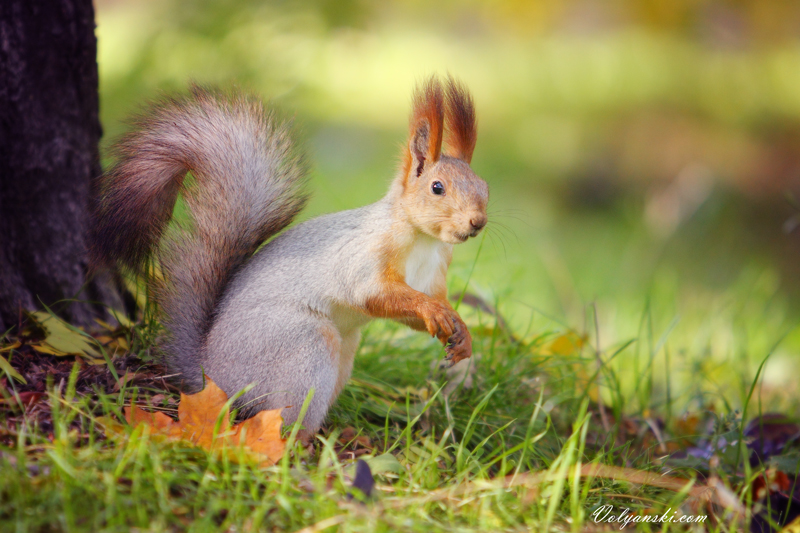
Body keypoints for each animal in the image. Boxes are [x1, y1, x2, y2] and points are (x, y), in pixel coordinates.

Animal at [89, 75, 488, 432]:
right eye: (437, 187)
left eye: (484, 187)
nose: (477, 222)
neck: (425, 240)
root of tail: (210, 375)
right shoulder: (363, 255)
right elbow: (375, 294)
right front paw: (432, 311)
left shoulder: (434, 273)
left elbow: (420, 309)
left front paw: (460, 330)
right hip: (303, 345)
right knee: (280, 416)